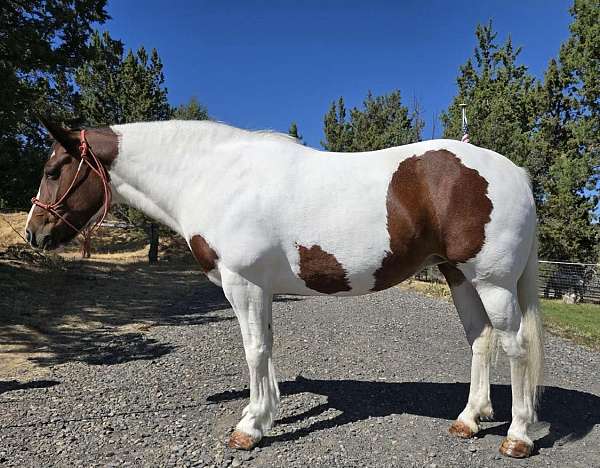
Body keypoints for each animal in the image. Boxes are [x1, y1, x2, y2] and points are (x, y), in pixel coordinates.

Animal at [27, 118, 544, 458]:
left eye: (54, 171)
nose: (34, 234)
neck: (214, 176)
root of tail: (516, 175)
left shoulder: (244, 284)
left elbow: (254, 349)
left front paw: (250, 428)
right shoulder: (260, 289)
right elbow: (268, 347)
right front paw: (264, 412)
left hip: (493, 282)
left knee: (515, 345)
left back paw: (517, 436)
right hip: (459, 276)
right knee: (480, 340)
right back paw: (469, 420)